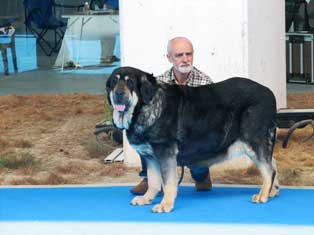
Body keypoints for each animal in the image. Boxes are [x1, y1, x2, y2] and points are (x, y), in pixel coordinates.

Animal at [106, 66, 280, 213]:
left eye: (130, 82)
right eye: (114, 82)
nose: (118, 94)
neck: (145, 107)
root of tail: (270, 92)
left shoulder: (165, 152)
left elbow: (168, 183)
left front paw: (165, 204)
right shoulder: (151, 157)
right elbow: (154, 181)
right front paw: (147, 198)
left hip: (255, 141)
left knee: (268, 169)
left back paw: (263, 195)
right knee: (272, 163)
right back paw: (273, 191)